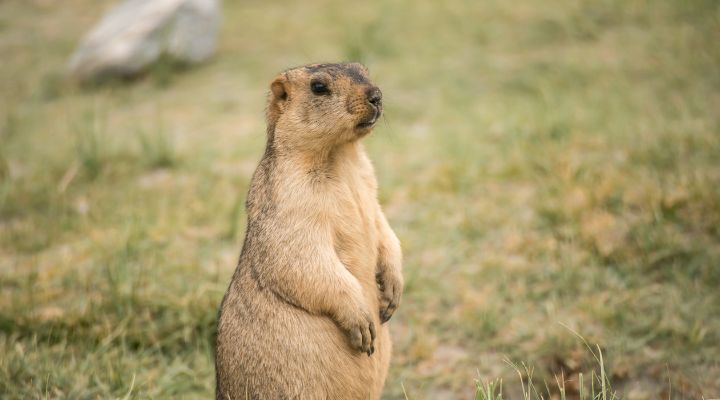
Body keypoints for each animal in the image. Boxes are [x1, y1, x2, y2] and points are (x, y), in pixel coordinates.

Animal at [215, 63, 403, 400]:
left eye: (364, 69)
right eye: (318, 87)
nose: (377, 95)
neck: (343, 156)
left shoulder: (371, 185)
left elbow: (384, 228)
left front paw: (393, 290)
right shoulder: (290, 199)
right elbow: (303, 252)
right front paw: (362, 321)